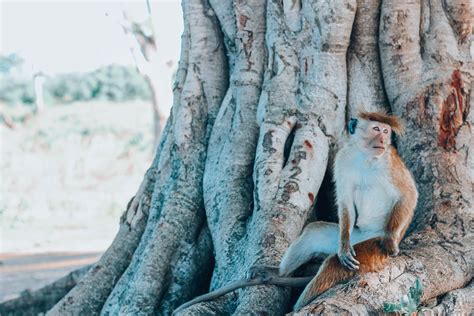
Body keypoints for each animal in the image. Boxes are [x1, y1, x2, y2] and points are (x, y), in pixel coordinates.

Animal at [282, 111, 418, 312]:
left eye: (386, 131)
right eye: (376, 129)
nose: (383, 139)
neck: (366, 157)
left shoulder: (390, 162)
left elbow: (408, 194)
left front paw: (390, 239)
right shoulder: (343, 159)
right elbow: (345, 200)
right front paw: (345, 246)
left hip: (372, 245)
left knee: (333, 264)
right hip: (354, 235)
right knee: (314, 233)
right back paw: (273, 274)